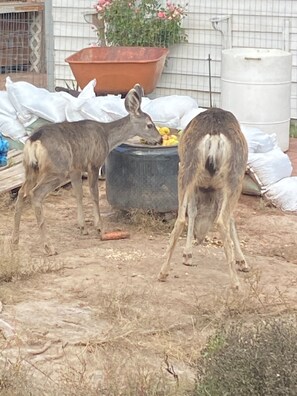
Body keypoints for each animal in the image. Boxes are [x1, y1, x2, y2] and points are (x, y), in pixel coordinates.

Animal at [11, 84, 162, 256]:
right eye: (150, 124)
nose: (160, 139)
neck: (107, 137)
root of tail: (34, 140)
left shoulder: (75, 169)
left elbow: (79, 194)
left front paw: (82, 227)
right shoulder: (94, 163)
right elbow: (94, 195)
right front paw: (99, 228)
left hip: (31, 169)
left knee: (21, 192)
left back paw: (14, 241)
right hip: (57, 169)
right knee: (35, 193)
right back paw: (49, 247)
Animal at [158, 106, 249, 290]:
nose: (198, 238)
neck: (208, 189)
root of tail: (214, 135)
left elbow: (195, 212)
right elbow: (228, 218)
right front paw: (241, 261)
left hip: (188, 167)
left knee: (180, 219)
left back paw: (163, 272)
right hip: (234, 174)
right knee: (221, 220)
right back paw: (235, 283)